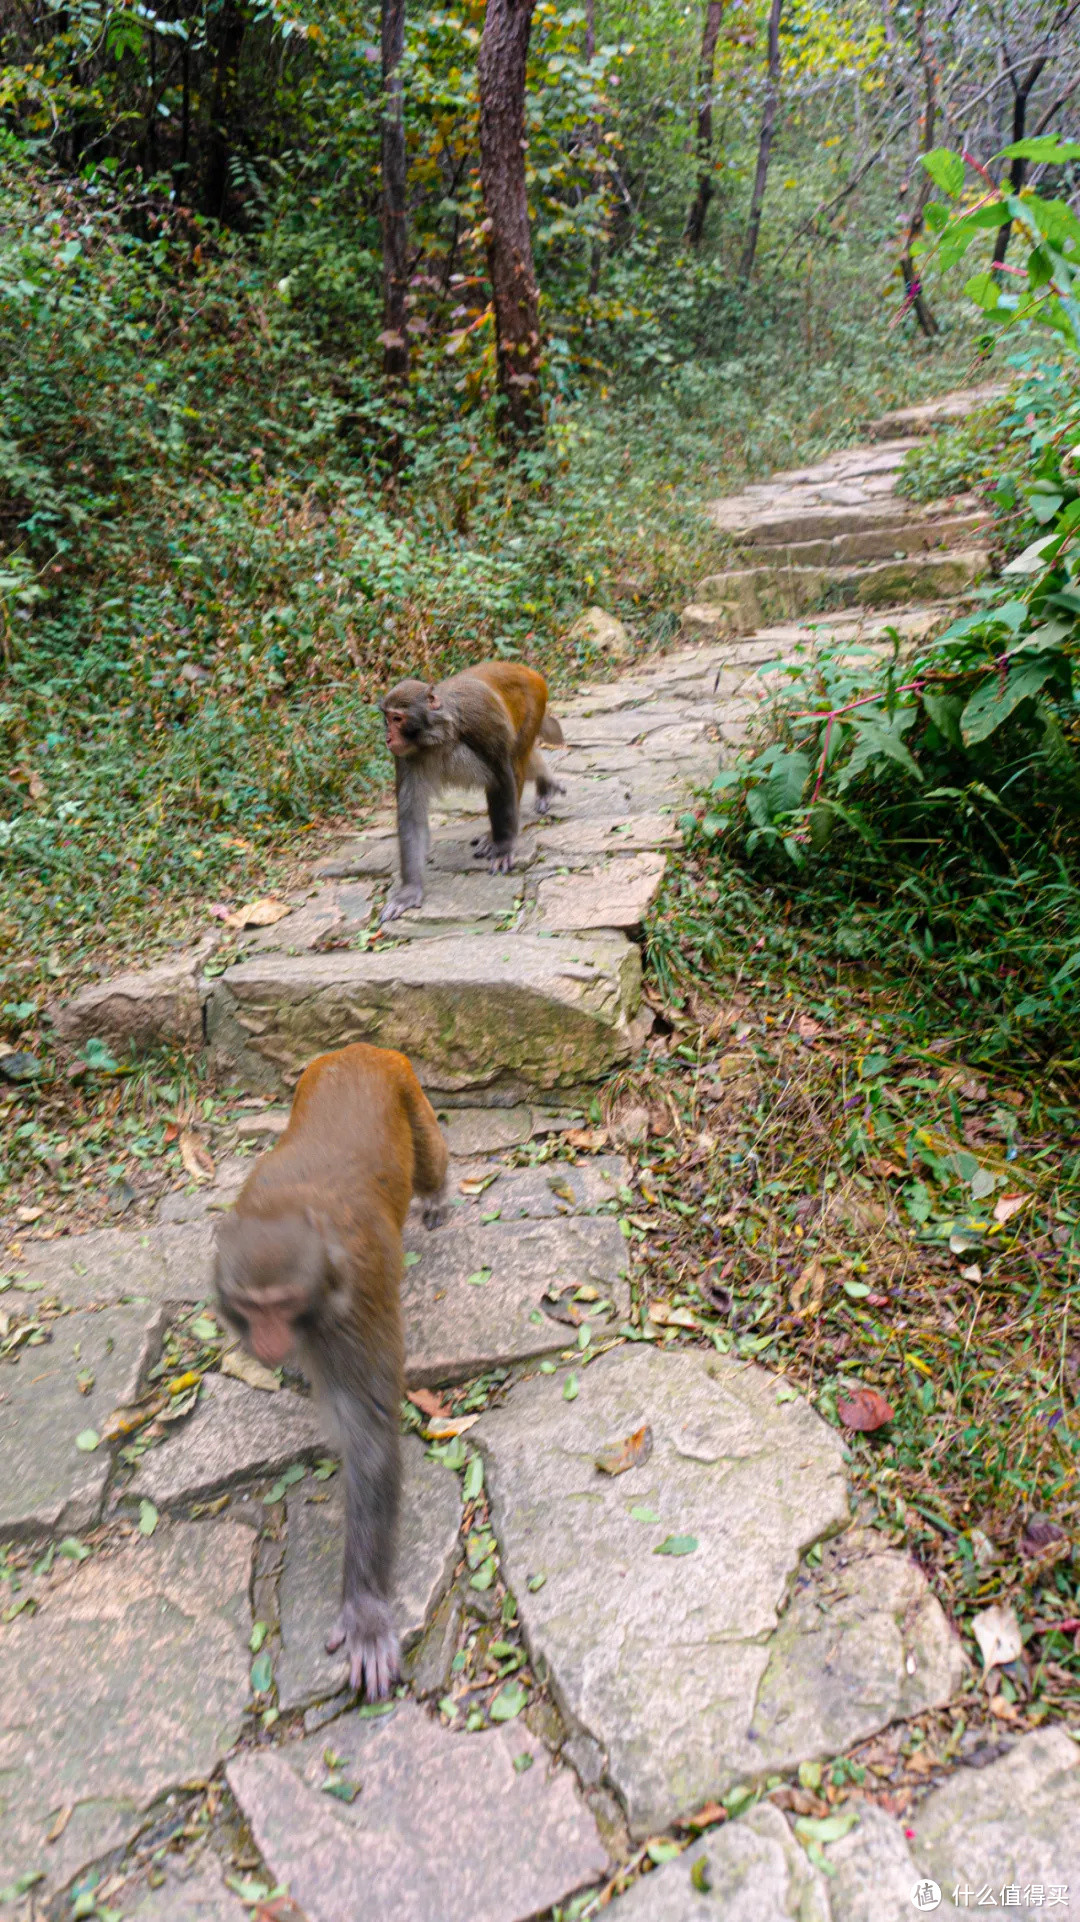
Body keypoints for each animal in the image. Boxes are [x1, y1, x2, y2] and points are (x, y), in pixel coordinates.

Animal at [210, 1053, 445, 1699]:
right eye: (251, 1304)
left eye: (283, 1303)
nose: (267, 1341)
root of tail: (360, 1049)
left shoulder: (354, 1312)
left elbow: (368, 1437)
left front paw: (364, 1610)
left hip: (410, 1095)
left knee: (431, 1159)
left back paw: (439, 1194)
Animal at [374, 661, 564, 922]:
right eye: (387, 719)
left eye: (397, 718)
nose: (388, 738)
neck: (440, 734)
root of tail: (524, 669)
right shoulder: (406, 756)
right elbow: (411, 815)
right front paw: (409, 891)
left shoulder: (482, 723)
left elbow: (501, 778)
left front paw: (503, 846)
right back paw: (545, 782)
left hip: (534, 703)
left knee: (515, 763)